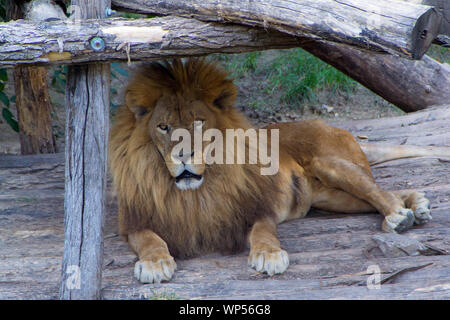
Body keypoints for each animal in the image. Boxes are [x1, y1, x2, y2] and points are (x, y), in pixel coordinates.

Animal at [109, 57, 450, 282]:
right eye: (164, 127)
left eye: (199, 122)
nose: (183, 156)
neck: (195, 193)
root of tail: (331, 125)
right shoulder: (133, 221)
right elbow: (149, 239)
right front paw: (155, 263)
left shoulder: (256, 209)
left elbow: (263, 232)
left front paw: (269, 256)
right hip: (333, 199)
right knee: (384, 192)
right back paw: (417, 203)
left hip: (330, 164)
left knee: (380, 191)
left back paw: (401, 215)